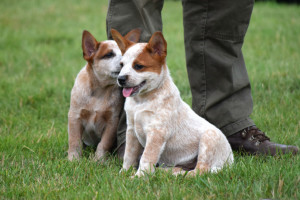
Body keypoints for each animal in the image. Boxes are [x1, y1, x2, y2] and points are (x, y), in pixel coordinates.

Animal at [68, 29, 141, 161]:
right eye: (109, 54)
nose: (124, 63)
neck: (100, 92)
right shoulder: (75, 116)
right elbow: (74, 141)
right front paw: (73, 159)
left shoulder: (112, 121)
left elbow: (104, 143)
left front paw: (99, 160)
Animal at [111, 28, 233, 176]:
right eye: (121, 65)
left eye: (138, 66)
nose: (121, 79)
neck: (141, 101)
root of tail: (231, 161)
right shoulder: (131, 131)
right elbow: (129, 156)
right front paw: (123, 173)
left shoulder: (157, 132)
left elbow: (146, 157)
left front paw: (139, 177)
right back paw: (164, 172)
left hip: (209, 139)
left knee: (199, 170)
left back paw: (177, 176)